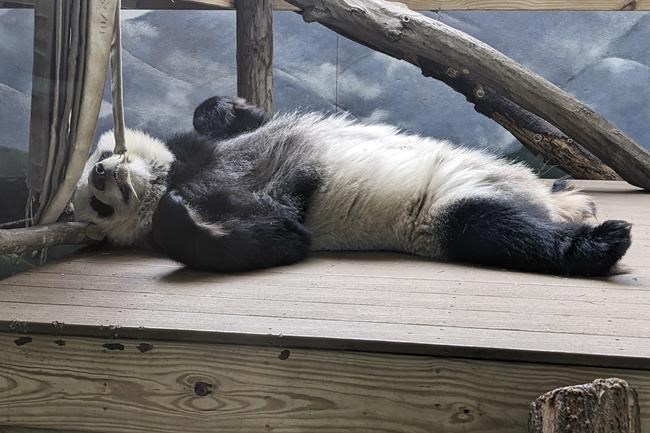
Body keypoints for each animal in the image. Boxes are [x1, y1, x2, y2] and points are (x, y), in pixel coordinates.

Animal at [72, 96, 632, 276]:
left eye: (98, 156)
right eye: (99, 208)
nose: (101, 175)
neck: (178, 174)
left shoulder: (204, 153)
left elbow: (235, 123)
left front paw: (225, 109)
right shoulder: (227, 198)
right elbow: (282, 235)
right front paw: (177, 213)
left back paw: (570, 197)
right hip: (443, 211)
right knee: (498, 231)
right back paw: (598, 242)